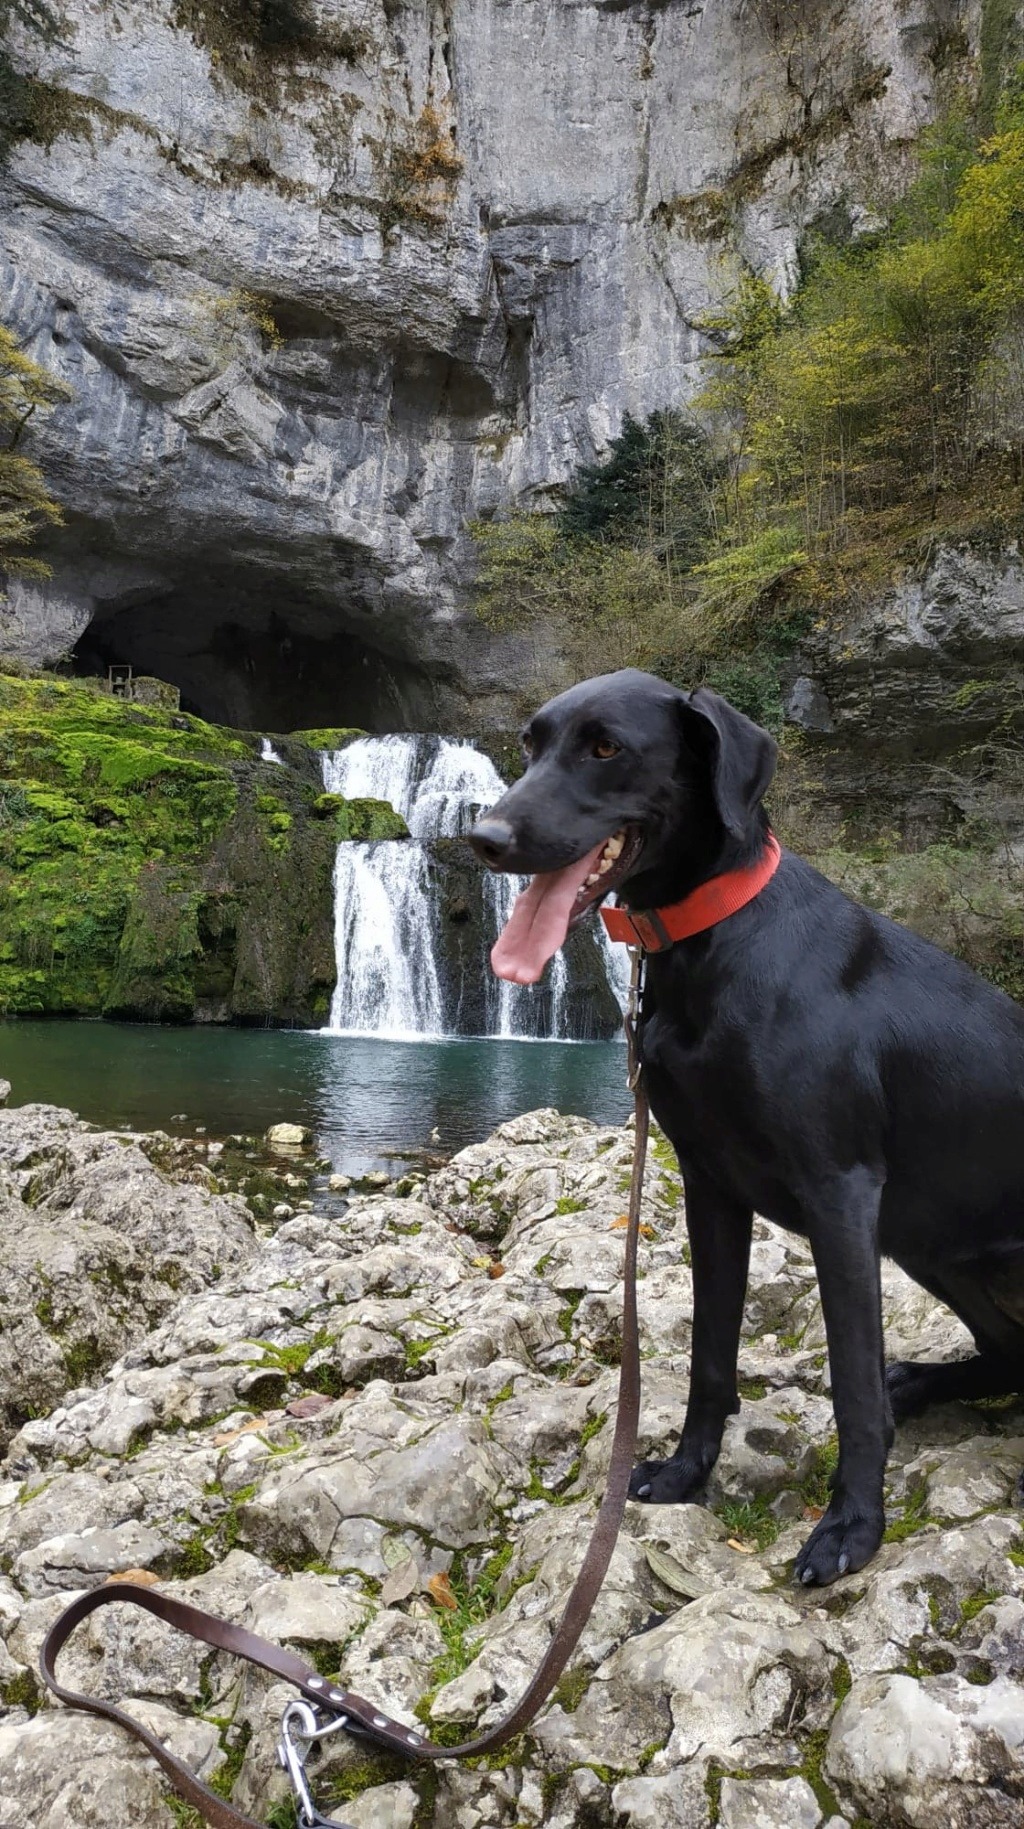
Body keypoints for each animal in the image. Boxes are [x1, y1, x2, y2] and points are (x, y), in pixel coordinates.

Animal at [471, 673, 1024, 1587]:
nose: (484, 837)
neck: (714, 941)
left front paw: (852, 1526)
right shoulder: (709, 1185)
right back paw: (920, 1380)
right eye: (529, 743)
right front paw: (686, 1471)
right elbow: (710, 1350)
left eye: (605, 746)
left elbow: (851, 1383)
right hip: (935, 1252)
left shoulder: (841, 1194)